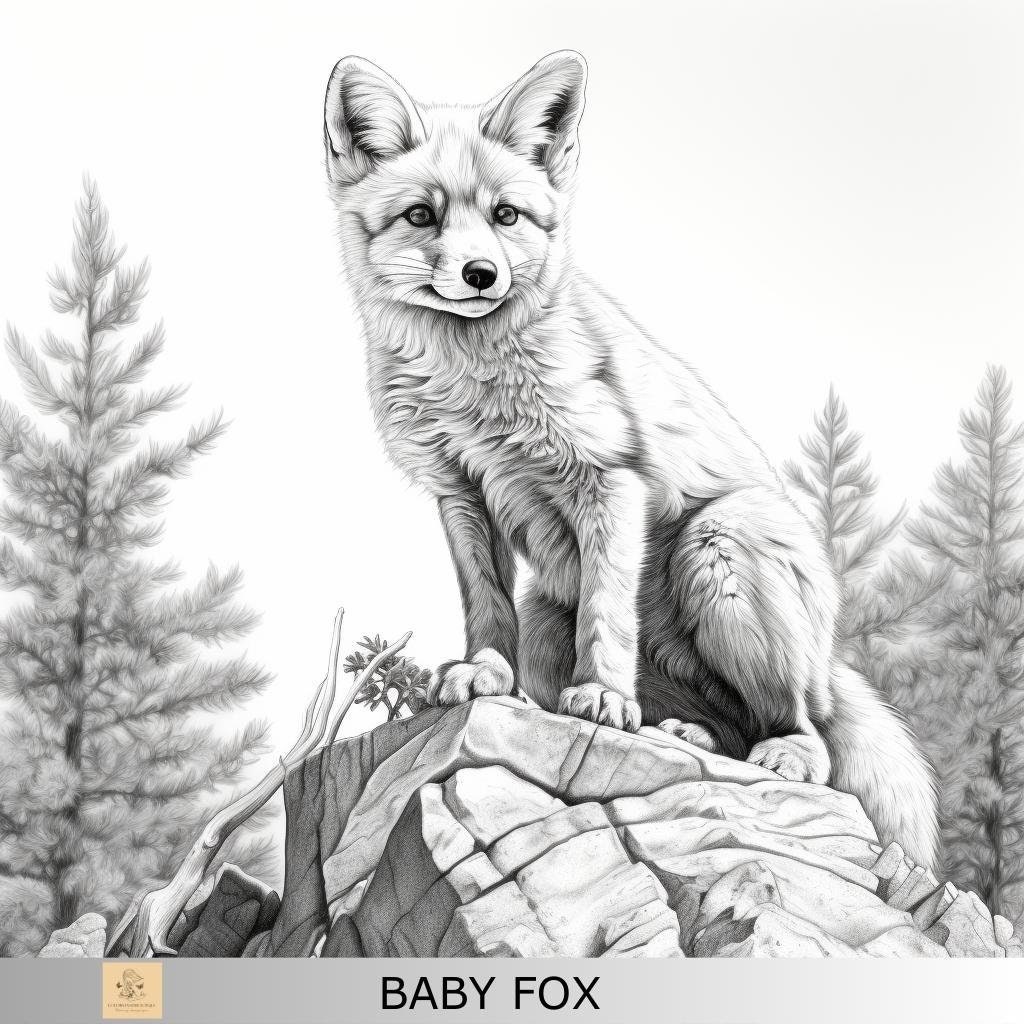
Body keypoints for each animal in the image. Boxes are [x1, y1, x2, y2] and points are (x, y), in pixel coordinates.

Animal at [322, 51, 939, 867]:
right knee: (724, 723)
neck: (472, 384)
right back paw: (686, 732)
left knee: (806, 732)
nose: (482, 273)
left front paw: (604, 699)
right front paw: (484, 675)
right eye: (421, 216)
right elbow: (484, 604)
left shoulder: (609, 480)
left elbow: (607, 613)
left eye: (506, 216)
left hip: (723, 546)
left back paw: (777, 749)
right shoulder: (460, 492)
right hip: (550, 620)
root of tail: (829, 658)